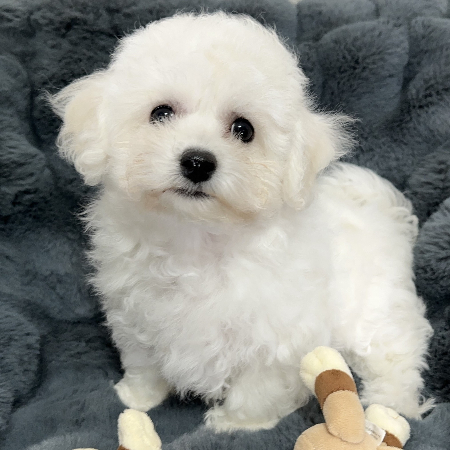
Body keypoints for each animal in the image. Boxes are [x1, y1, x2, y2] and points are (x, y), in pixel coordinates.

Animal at [51, 12, 433, 431]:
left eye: (243, 129)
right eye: (160, 113)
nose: (198, 162)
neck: (196, 240)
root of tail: (382, 211)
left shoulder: (277, 335)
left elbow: (258, 385)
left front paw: (235, 424)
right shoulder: (135, 316)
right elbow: (142, 361)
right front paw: (137, 397)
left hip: (377, 311)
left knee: (395, 357)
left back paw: (388, 408)